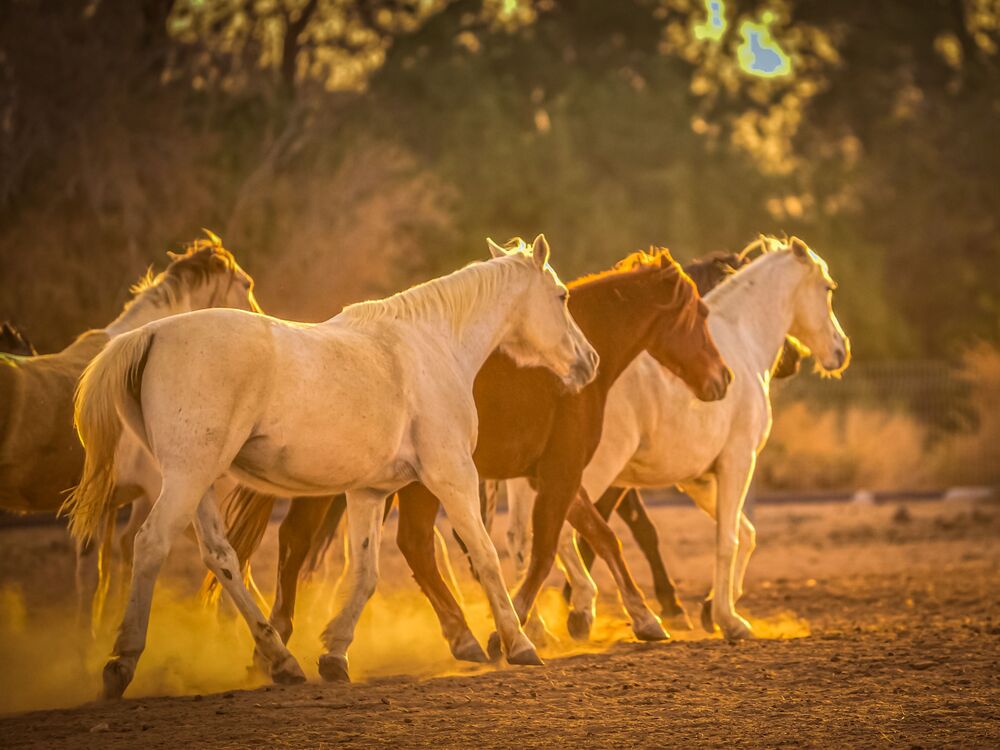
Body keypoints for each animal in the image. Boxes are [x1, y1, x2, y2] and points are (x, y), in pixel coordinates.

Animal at [65, 234, 599, 699]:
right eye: (562, 296)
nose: (589, 361)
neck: (430, 346)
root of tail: (152, 333)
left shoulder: (368, 492)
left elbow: (364, 573)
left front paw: (334, 656)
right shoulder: (452, 477)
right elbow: (486, 557)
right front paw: (519, 645)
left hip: (200, 485)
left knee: (222, 558)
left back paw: (283, 661)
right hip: (185, 479)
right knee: (150, 545)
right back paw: (121, 663)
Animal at [506, 236, 850, 640]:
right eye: (828, 288)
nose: (840, 351)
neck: (742, 340)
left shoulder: (697, 479)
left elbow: (744, 533)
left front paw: (712, 609)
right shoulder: (739, 460)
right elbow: (728, 540)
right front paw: (729, 619)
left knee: (524, 540)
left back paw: (536, 625)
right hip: (587, 473)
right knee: (561, 535)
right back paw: (581, 613)